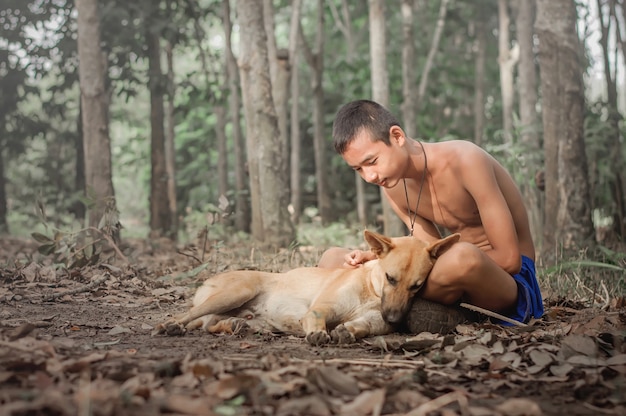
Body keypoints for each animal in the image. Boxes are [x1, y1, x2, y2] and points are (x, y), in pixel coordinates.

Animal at [155, 231, 458, 344]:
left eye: (417, 286)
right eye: (390, 278)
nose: (395, 318)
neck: (370, 289)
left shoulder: (376, 321)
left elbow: (364, 326)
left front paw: (348, 331)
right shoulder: (319, 309)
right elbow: (317, 317)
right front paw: (319, 333)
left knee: (211, 324)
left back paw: (235, 325)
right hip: (235, 293)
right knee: (188, 316)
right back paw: (171, 325)